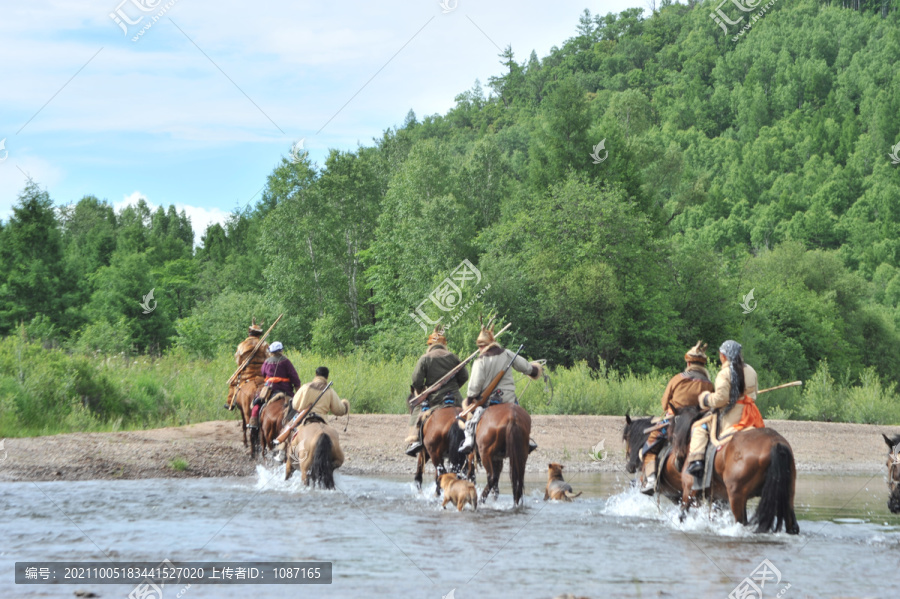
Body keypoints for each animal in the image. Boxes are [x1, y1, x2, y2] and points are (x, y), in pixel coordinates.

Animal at [672, 408, 800, 536]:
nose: (676, 462)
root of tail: (775, 443)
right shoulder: (719, 497)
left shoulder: (689, 489)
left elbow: (682, 513)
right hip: (787, 495)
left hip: (736, 496)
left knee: (741, 522)